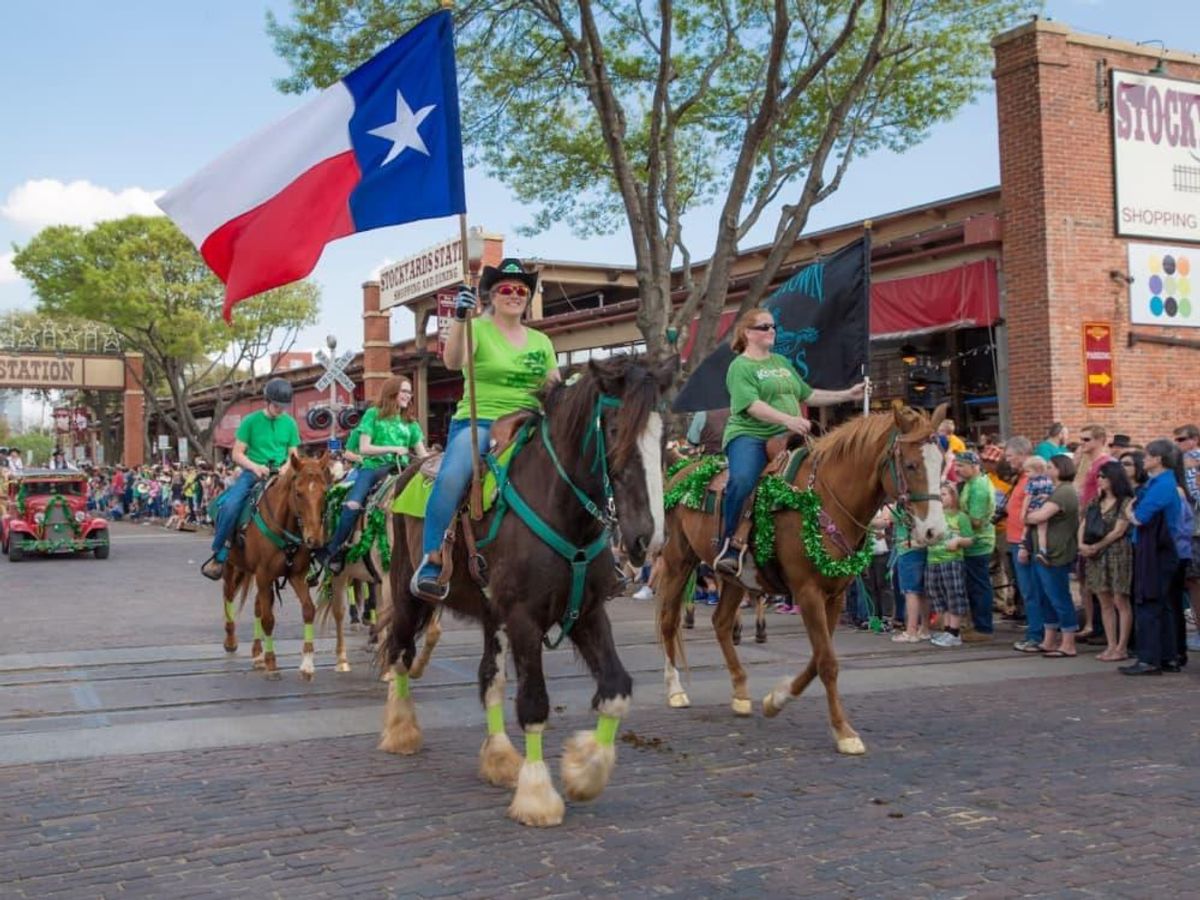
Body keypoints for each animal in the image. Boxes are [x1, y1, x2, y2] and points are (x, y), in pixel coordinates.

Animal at [219, 453, 333, 681]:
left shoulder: (295, 575)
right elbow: (268, 619)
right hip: (232, 566)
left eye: (324, 492)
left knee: (257, 606)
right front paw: (272, 663)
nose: (314, 539)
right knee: (228, 594)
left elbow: (308, 610)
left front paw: (307, 664)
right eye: (298, 493)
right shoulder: (263, 575)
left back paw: (257, 654)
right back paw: (231, 640)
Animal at [379, 355, 676, 830]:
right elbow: (534, 703)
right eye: (614, 430)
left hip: (491, 613)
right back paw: (401, 731)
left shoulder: (587, 612)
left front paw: (583, 772)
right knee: (401, 654)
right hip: (410, 596)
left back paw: (500, 759)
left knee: (489, 678)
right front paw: (538, 796)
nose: (646, 540)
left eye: (664, 434)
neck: (561, 509)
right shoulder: (524, 617)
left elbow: (616, 689)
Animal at [657, 400, 945, 753]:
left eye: (940, 464)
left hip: (736, 578)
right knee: (669, 620)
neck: (822, 499)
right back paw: (675, 689)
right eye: (911, 464)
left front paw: (776, 700)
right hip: (679, 560)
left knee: (722, 623)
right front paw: (845, 732)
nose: (935, 531)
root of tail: (680, 474)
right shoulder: (808, 592)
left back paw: (740, 692)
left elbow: (819, 658)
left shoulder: (833, 595)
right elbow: (827, 663)